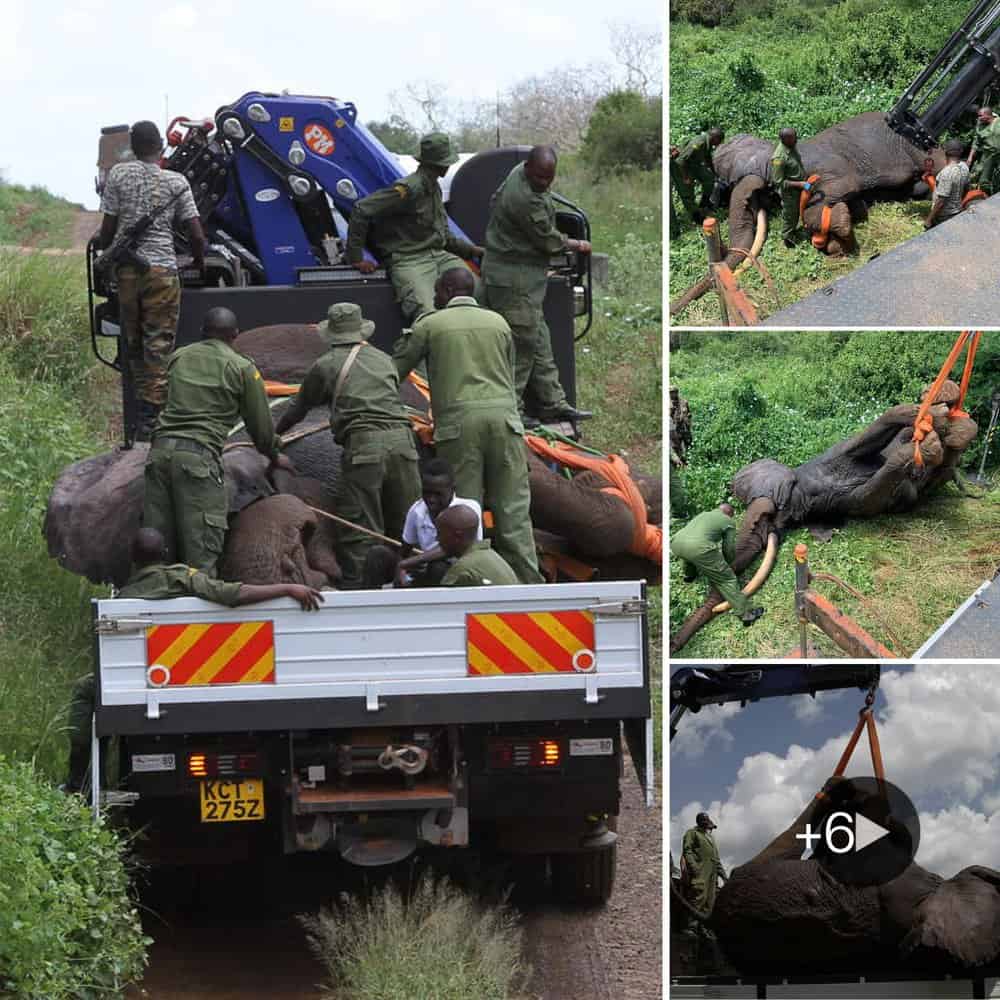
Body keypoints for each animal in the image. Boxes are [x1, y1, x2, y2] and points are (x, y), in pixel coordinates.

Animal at [669, 380, 978, 653]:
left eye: (768, 516)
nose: (674, 645)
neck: (801, 487)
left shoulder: (830, 460)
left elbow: (862, 444)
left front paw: (919, 420)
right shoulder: (838, 504)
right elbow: (871, 493)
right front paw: (922, 447)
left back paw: (939, 409)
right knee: (943, 464)